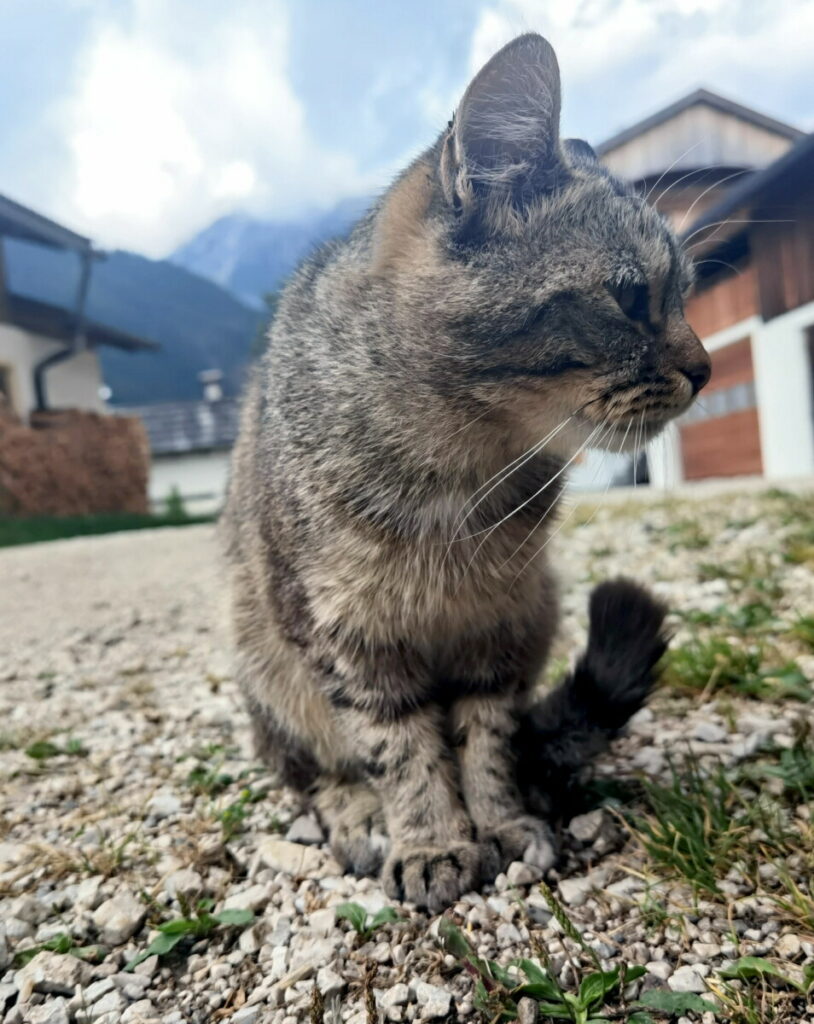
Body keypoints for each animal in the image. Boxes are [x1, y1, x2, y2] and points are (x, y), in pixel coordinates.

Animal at [221, 32, 708, 913]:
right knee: (311, 771)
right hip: (263, 662)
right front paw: (431, 839)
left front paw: (499, 822)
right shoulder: (346, 635)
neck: (463, 471)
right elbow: (398, 748)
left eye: (687, 293)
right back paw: (357, 813)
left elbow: (487, 739)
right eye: (630, 297)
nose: (708, 368)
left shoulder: (499, 625)